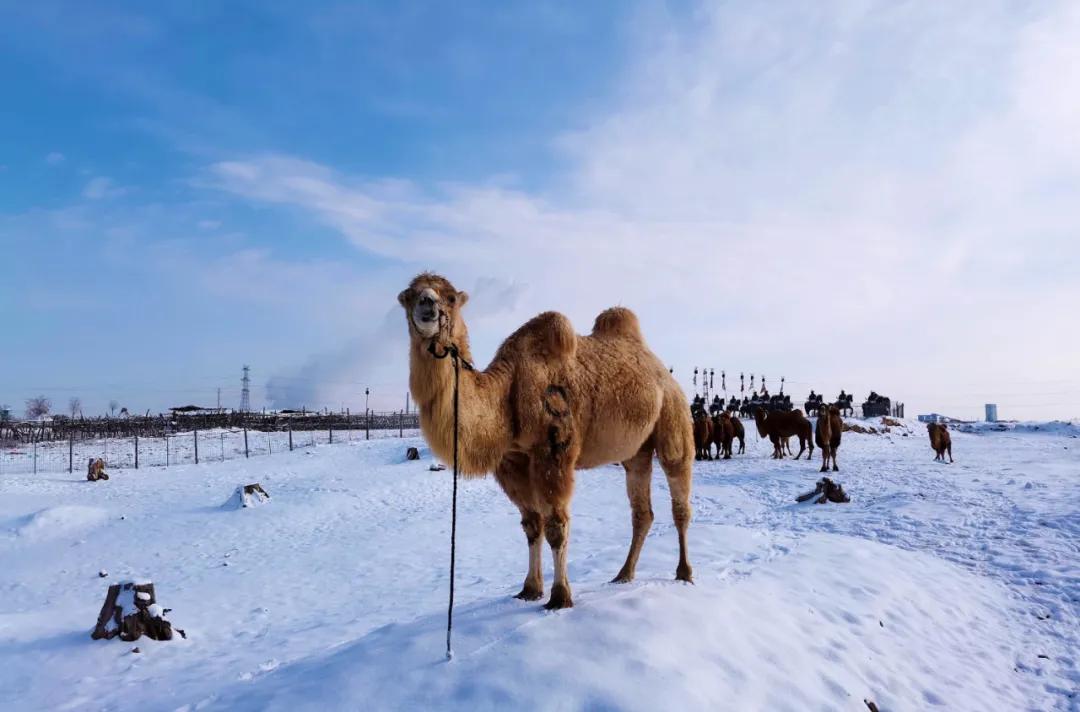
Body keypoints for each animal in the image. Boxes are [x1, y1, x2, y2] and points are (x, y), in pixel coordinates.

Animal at [397, 275, 691, 609]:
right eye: (410, 295)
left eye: (449, 297)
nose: (427, 303)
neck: (507, 392)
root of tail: (662, 369)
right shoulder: (513, 460)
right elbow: (531, 524)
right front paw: (530, 589)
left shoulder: (553, 450)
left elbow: (556, 527)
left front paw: (560, 597)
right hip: (636, 452)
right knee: (642, 511)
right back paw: (623, 574)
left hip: (673, 415)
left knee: (679, 496)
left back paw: (684, 572)